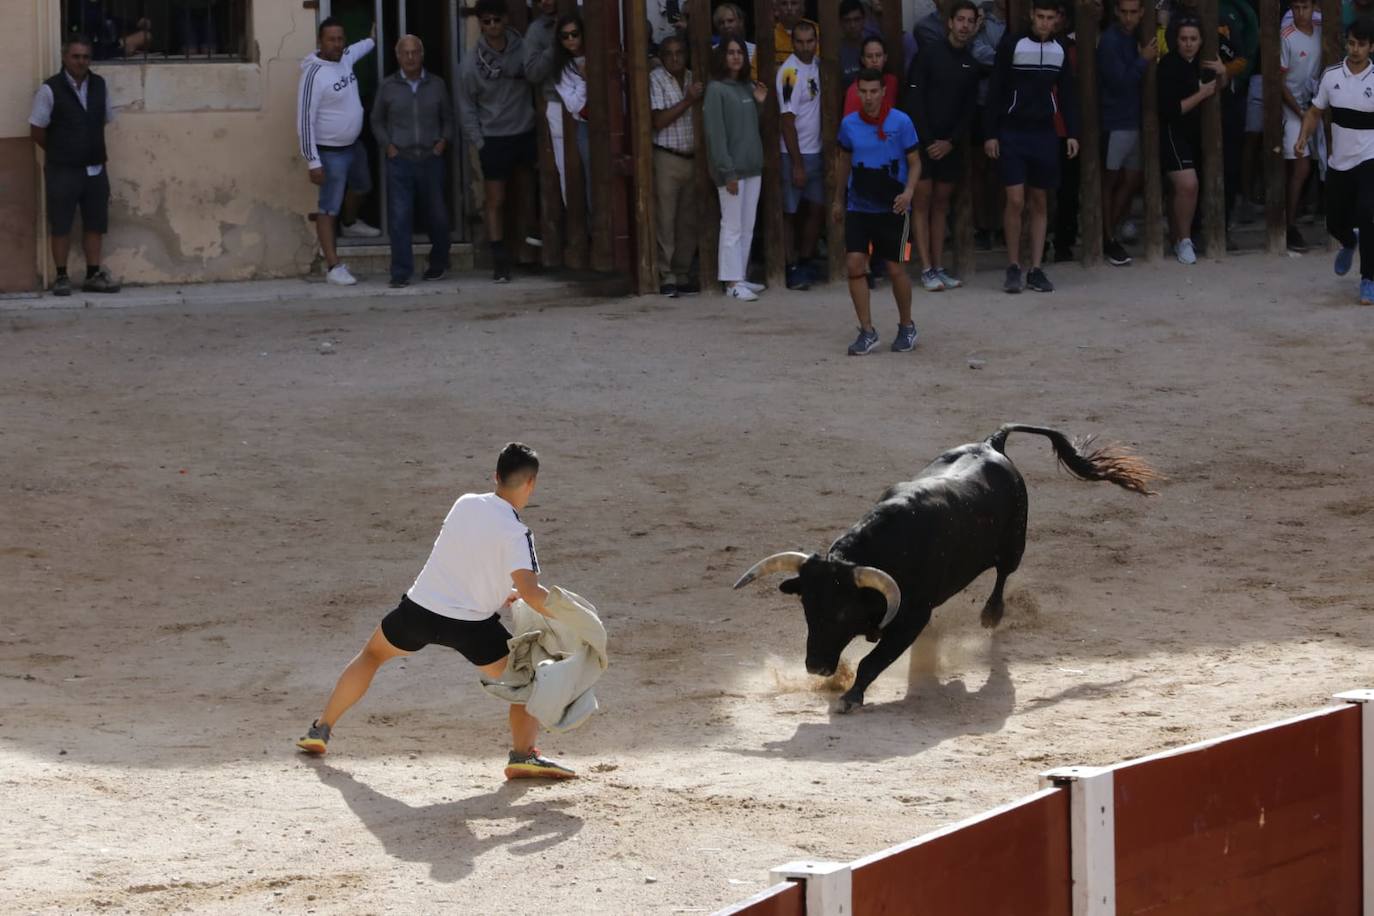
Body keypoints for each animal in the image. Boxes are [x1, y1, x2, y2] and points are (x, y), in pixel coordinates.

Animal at [736, 425, 1154, 714]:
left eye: (842, 611)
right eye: (807, 607)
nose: (818, 668)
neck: (886, 548)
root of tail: (993, 442)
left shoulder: (911, 618)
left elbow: (873, 661)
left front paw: (850, 697)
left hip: (1014, 545)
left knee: (1003, 575)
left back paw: (991, 615)